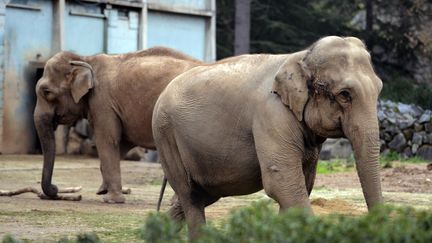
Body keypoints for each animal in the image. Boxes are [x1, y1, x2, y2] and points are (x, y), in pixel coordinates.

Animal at [34, 47, 202, 203]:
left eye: (46, 92)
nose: (55, 188)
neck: (85, 59)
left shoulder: (103, 102)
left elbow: (107, 140)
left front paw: (110, 199)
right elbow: (122, 144)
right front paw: (103, 190)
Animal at [154, 36, 384, 239]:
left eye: (379, 89)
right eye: (345, 94)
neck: (300, 57)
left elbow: (303, 183)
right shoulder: (271, 114)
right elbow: (282, 181)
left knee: (199, 196)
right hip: (166, 134)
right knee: (191, 195)